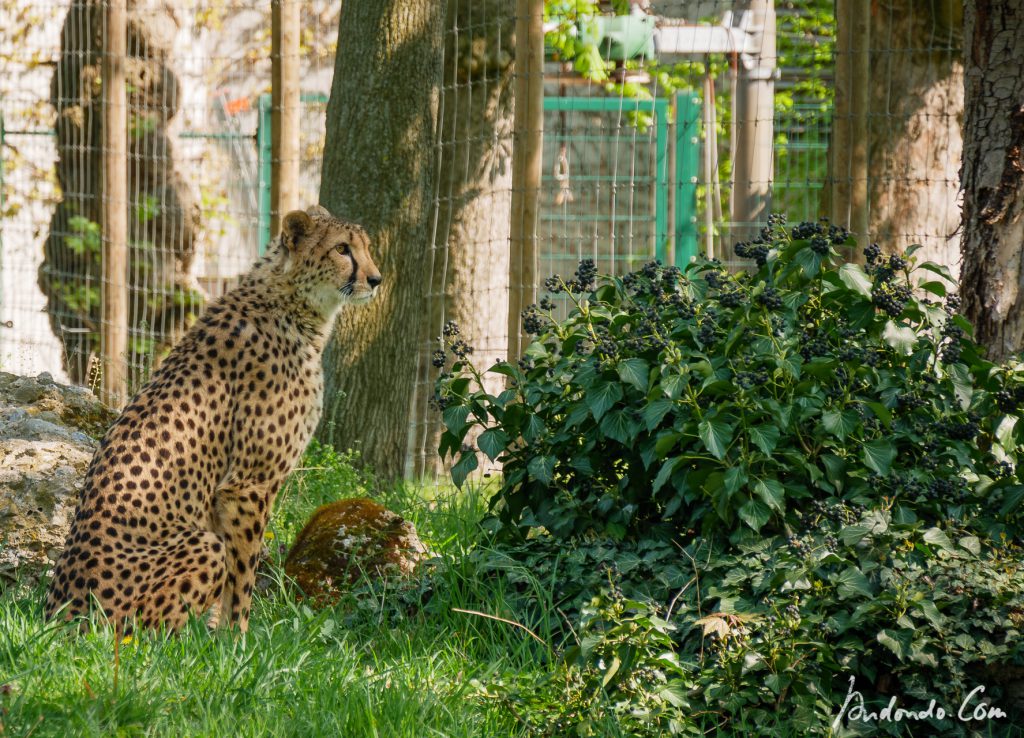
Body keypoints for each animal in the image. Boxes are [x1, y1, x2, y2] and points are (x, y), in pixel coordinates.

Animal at [44, 204, 380, 630]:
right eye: (342, 249)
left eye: (366, 247)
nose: (376, 279)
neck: (291, 304)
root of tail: (58, 615)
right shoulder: (247, 485)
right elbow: (243, 579)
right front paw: (238, 639)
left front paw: (222, 636)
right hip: (199, 546)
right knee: (141, 636)